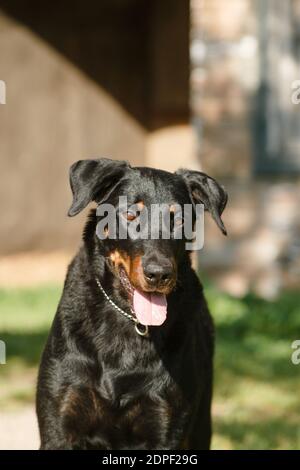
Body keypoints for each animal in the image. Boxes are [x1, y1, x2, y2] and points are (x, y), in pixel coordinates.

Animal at [36, 160, 226, 450]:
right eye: (130, 215)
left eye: (180, 220)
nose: (159, 274)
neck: (128, 320)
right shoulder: (59, 425)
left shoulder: (166, 428)